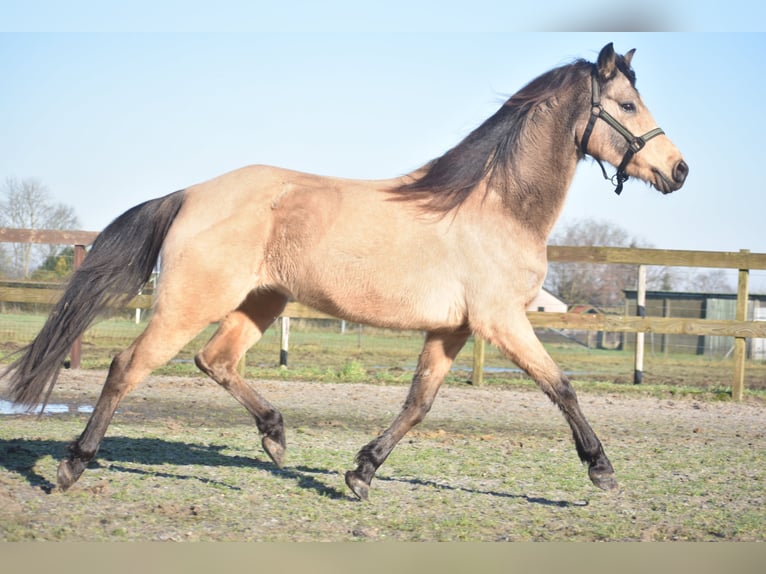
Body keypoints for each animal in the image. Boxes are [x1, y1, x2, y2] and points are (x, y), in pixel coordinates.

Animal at [4, 44, 688, 500]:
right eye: (627, 103)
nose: (679, 170)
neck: (493, 207)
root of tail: (191, 193)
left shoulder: (453, 331)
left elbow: (419, 403)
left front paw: (360, 473)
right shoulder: (501, 322)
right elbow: (562, 386)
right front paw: (601, 470)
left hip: (261, 302)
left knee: (216, 360)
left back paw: (276, 437)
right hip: (189, 303)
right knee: (127, 367)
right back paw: (72, 466)